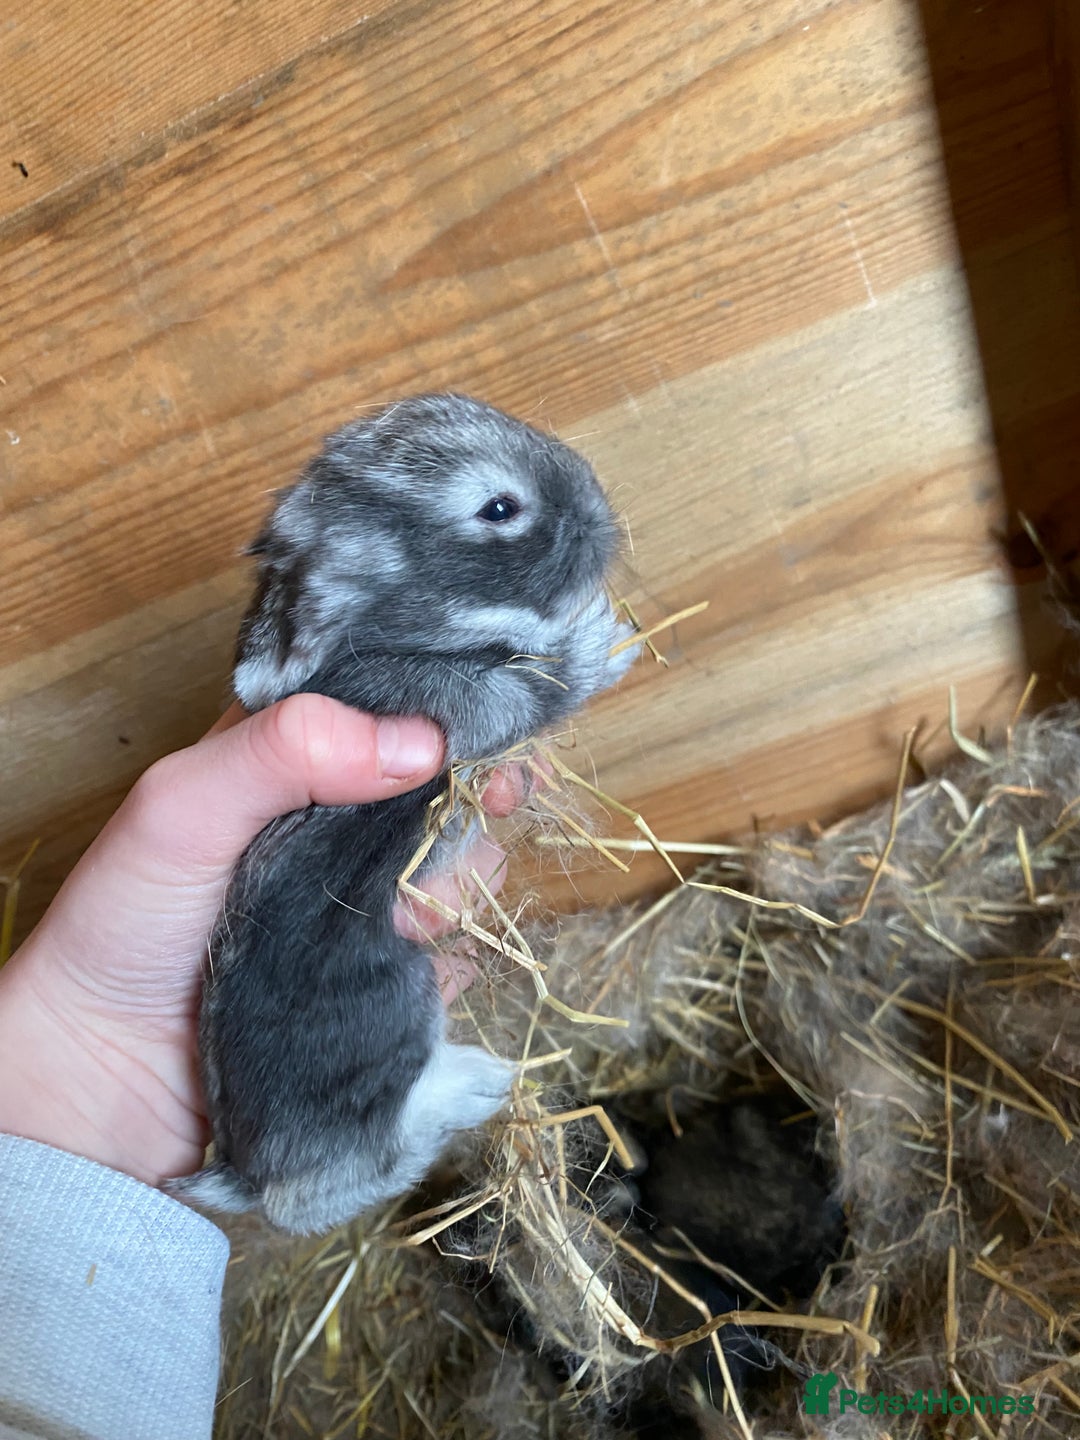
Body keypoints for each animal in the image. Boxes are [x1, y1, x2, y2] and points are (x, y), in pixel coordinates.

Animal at [168, 393, 635, 1235]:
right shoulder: (462, 705)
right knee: (343, 1179)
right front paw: (602, 638)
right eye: (499, 508)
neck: (390, 636)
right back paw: (479, 1085)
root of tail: (242, 1176)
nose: (598, 505)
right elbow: (538, 689)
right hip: (395, 1005)